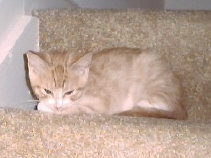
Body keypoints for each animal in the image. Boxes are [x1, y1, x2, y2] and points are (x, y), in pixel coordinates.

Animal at [25, 47, 187, 119]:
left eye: (70, 92)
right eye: (47, 91)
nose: (58, 105)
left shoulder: (98, 106)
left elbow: (76, 109)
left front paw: (45, 107)